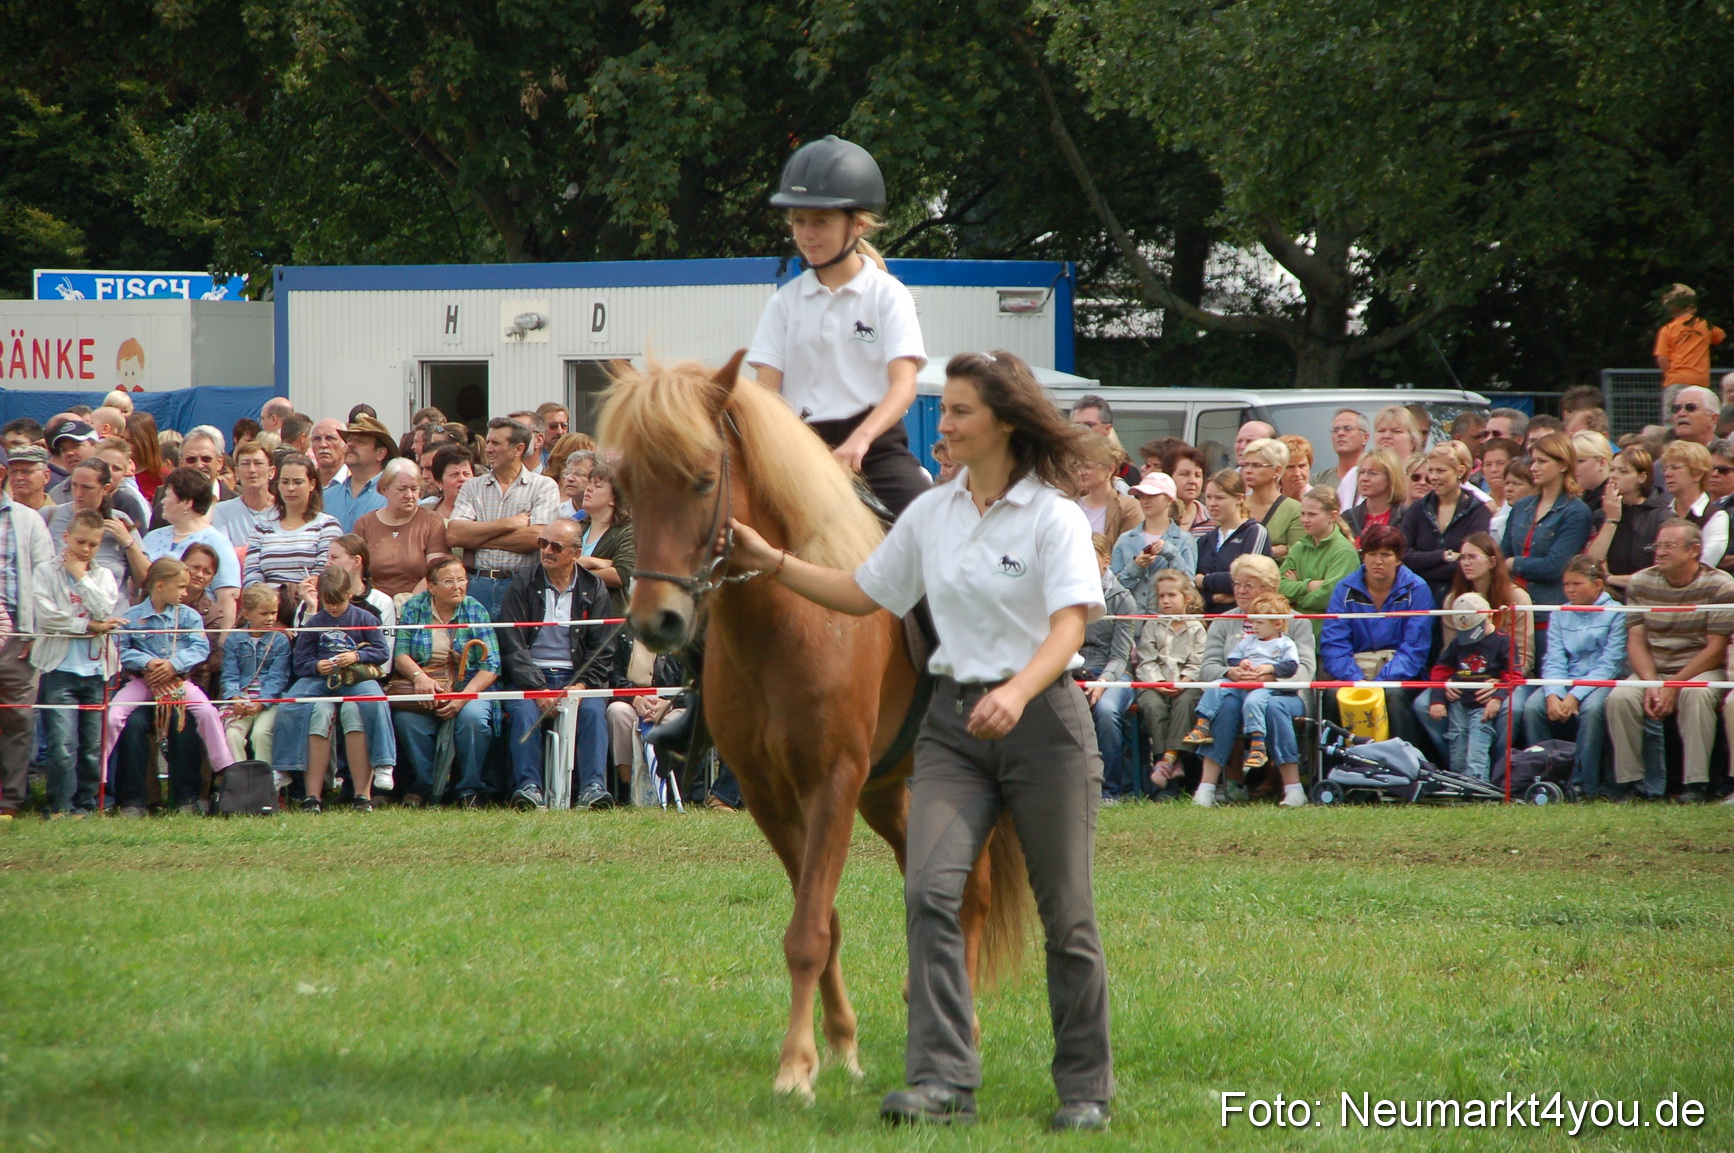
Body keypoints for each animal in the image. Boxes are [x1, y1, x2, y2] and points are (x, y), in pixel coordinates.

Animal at [599, 351, 1027, 1102]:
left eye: (703, 478)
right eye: (626, 485)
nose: (658, 621)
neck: (789, 620)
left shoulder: (832, 782)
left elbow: (807, 933)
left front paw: (796, 1067)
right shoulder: (770, 794)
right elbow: (818, 917)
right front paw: (840, 1047)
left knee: (970, 895)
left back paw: (963, 1027)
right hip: (888, 792)